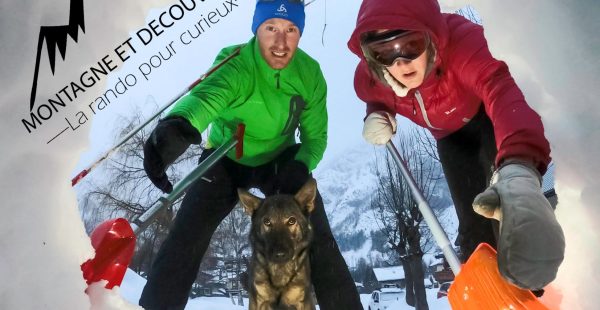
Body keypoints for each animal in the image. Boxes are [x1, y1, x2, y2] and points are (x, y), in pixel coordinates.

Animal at [237, 178, 316, 308]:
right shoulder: (258, 301)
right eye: (267, 222)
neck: (280, 270)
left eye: (292, 221)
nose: (279, 254)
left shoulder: (300, 301)